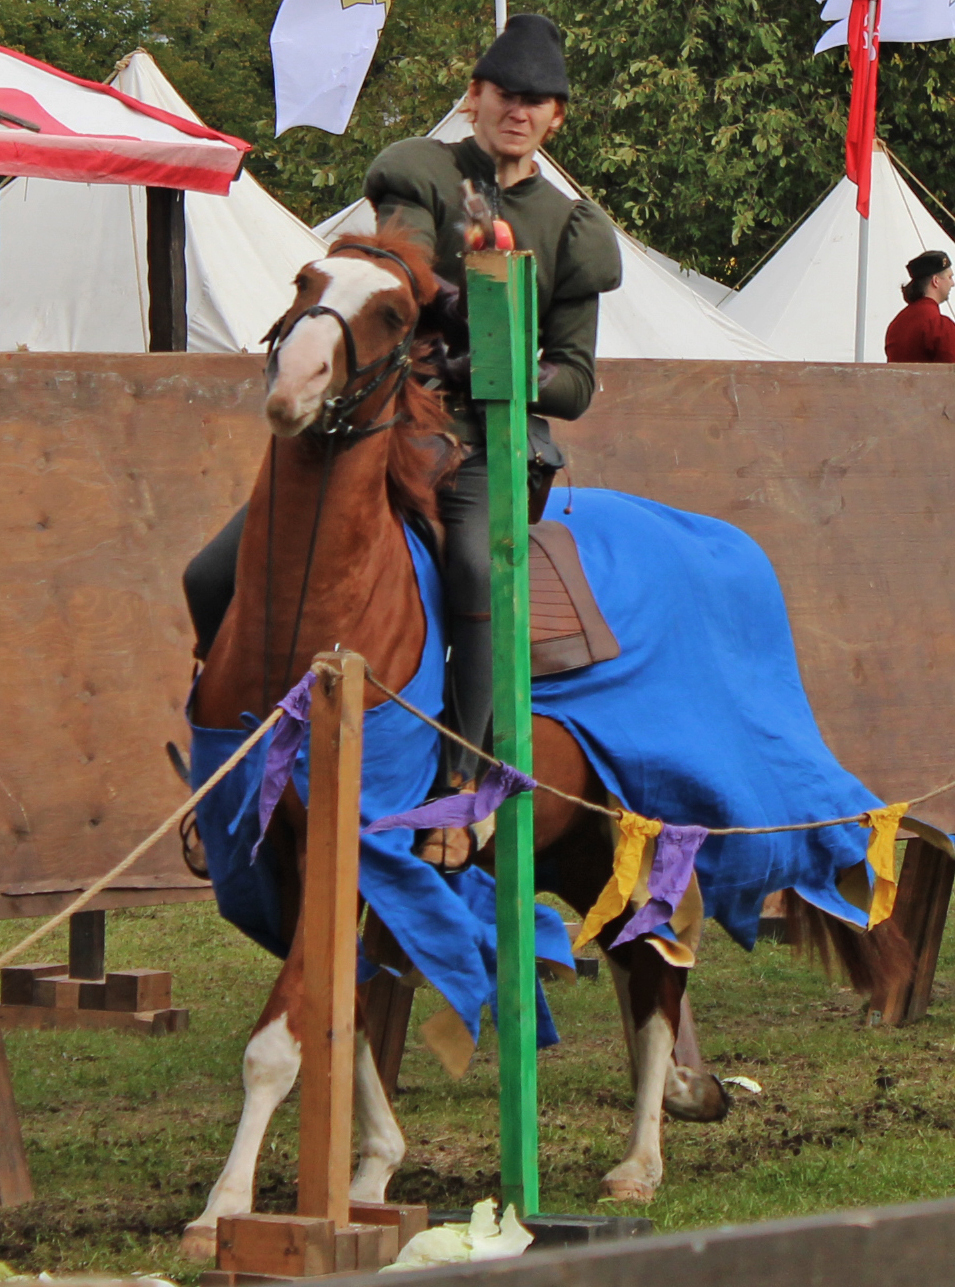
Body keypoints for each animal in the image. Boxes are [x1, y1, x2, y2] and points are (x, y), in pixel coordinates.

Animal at [181, 231, 911, 1256]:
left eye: (395, 314)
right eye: (306, 281)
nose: (293, 385)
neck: (314, 630)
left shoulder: (359, 846)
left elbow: (283, 1039)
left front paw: (224, 1208)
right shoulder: (285, 859)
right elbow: (345, 1013)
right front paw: (372, 1165)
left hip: (647, 831)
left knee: (656, 975)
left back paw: (639, 1163)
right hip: (576, 846)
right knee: (639, 967)